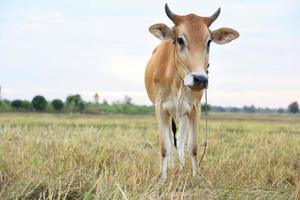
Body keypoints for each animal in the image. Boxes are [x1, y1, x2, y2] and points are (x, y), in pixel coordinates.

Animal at [145, 3, 239, 180]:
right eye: (180, 39)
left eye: (209, 41)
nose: (200, 79)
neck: (177, 80)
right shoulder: (160, 107)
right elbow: (165, 146)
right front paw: (162, 178)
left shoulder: (195, 108)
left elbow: (192, 146)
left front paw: (196, 177)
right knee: (171, 139)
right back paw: (172, 167)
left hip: (182, 114)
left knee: (180, 140)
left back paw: (181, 167)